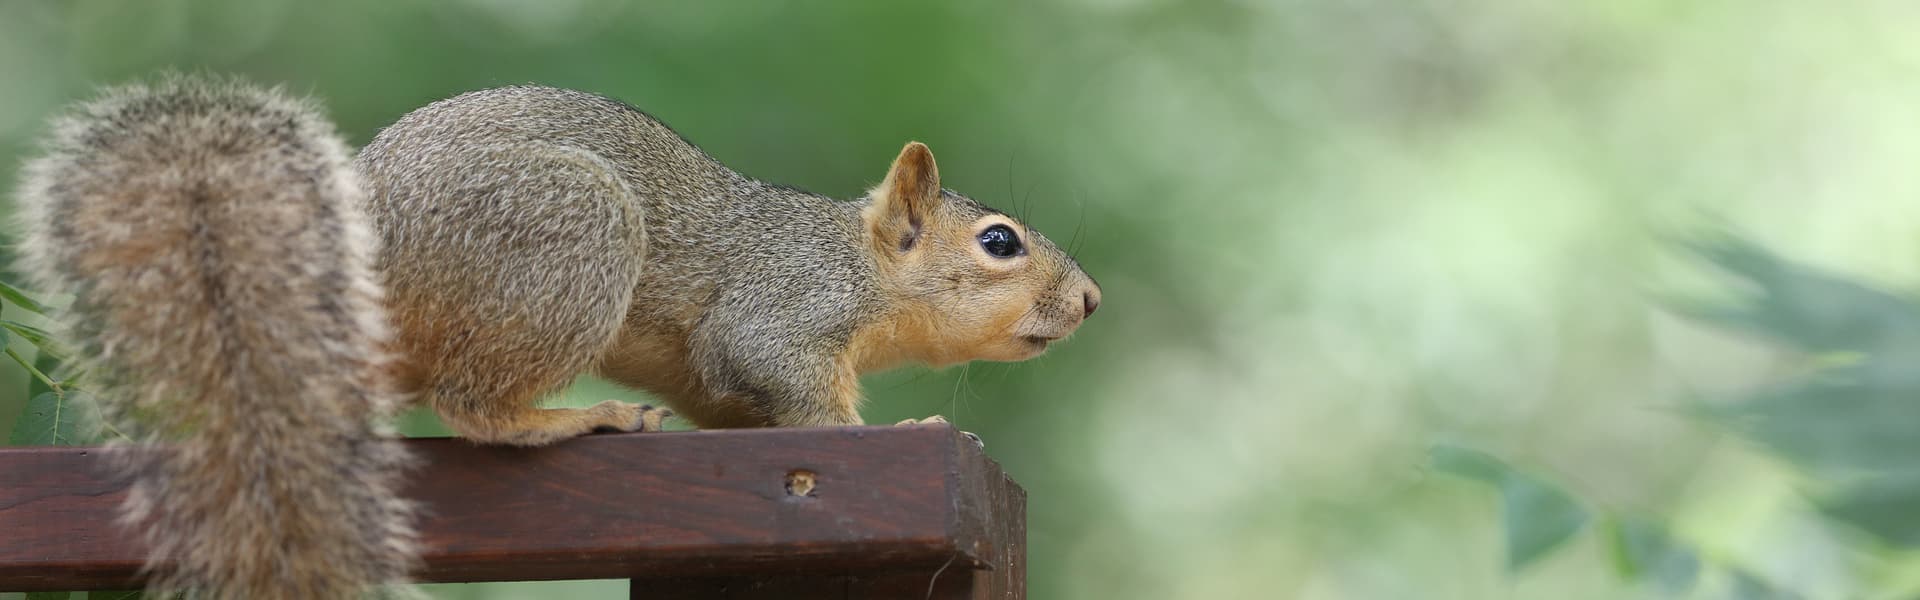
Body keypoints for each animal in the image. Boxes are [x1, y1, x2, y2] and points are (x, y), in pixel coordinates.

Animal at [15, 72, 1105, 596]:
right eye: (1000, 242)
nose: (1092, 301)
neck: (861, 261)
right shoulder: (780, 307)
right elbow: (790, 385)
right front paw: (895, 433)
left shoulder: (714, 376)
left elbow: (730, 405)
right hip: (570, 237)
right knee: (472, 408)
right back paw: (571, 420)